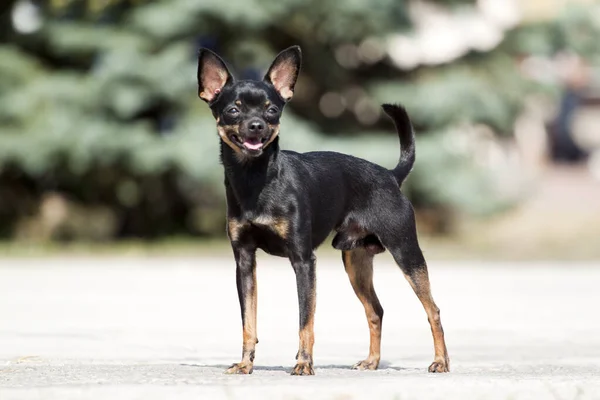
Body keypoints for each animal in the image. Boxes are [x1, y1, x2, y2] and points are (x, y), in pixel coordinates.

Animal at [197, 46, 450, 376]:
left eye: (272, 110)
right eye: (233, 111)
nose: (257, 126)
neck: (256, 179)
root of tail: (391, 175)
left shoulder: (304, 261)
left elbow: (306, 319)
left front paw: (304, 363)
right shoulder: (244, 262)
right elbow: (248, 322)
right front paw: (245, 363)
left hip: (406, 251)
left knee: (433, 309)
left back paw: (440, 361)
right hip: (355, 260)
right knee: (376, 310)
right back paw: (372, 361)